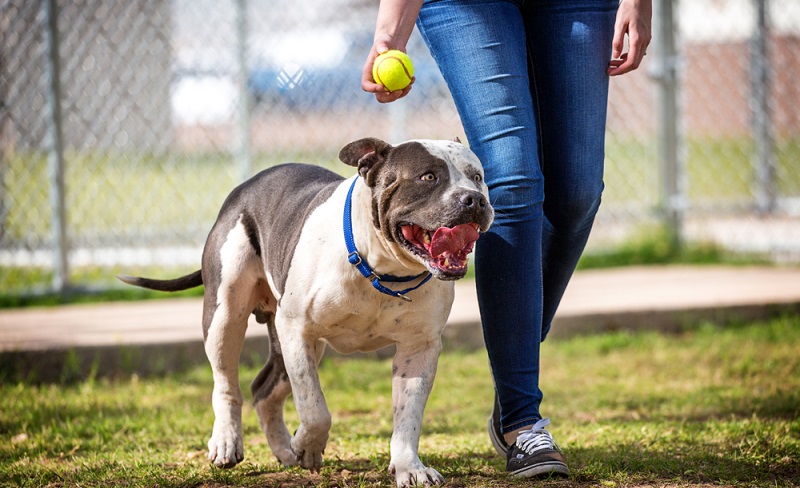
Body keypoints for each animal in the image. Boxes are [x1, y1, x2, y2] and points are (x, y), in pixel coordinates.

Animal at [119, 135, 494, 486]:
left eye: (477, 177)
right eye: (428, 176)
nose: (474, 199)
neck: (382, 269)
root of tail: (245, 188)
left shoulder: (419, 349)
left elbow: (408, 416)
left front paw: (409, 468)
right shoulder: (297, 330)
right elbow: (315, 409)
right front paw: (309, 446)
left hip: (290, 341)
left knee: (264, 390)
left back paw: (285, 449)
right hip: (226, 315)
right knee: (226, 382)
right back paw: (228, 442)